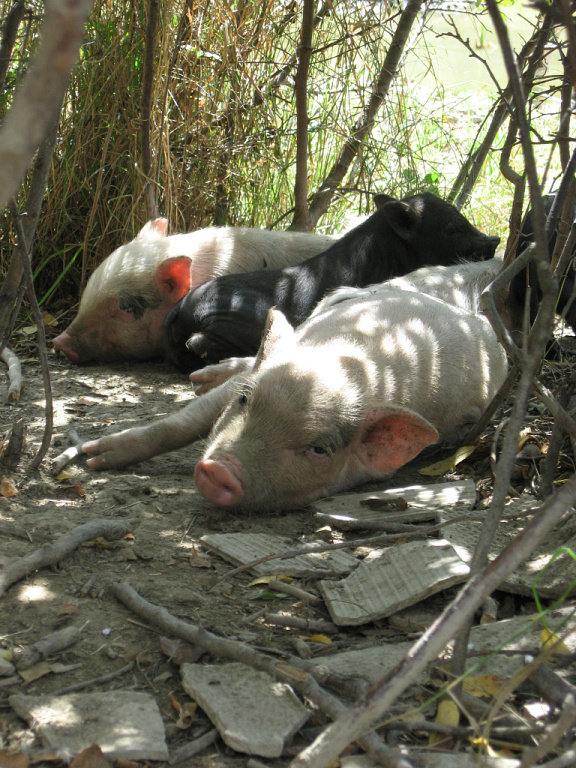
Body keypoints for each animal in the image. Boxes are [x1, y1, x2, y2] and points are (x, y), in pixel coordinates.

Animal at [83, 280, 506, 512]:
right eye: (245, 402)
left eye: (319, 450)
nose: (219, 471)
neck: (345, 365)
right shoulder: (242, 384)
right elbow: (182, 422)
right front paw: (89, 457)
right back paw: (202, 376)